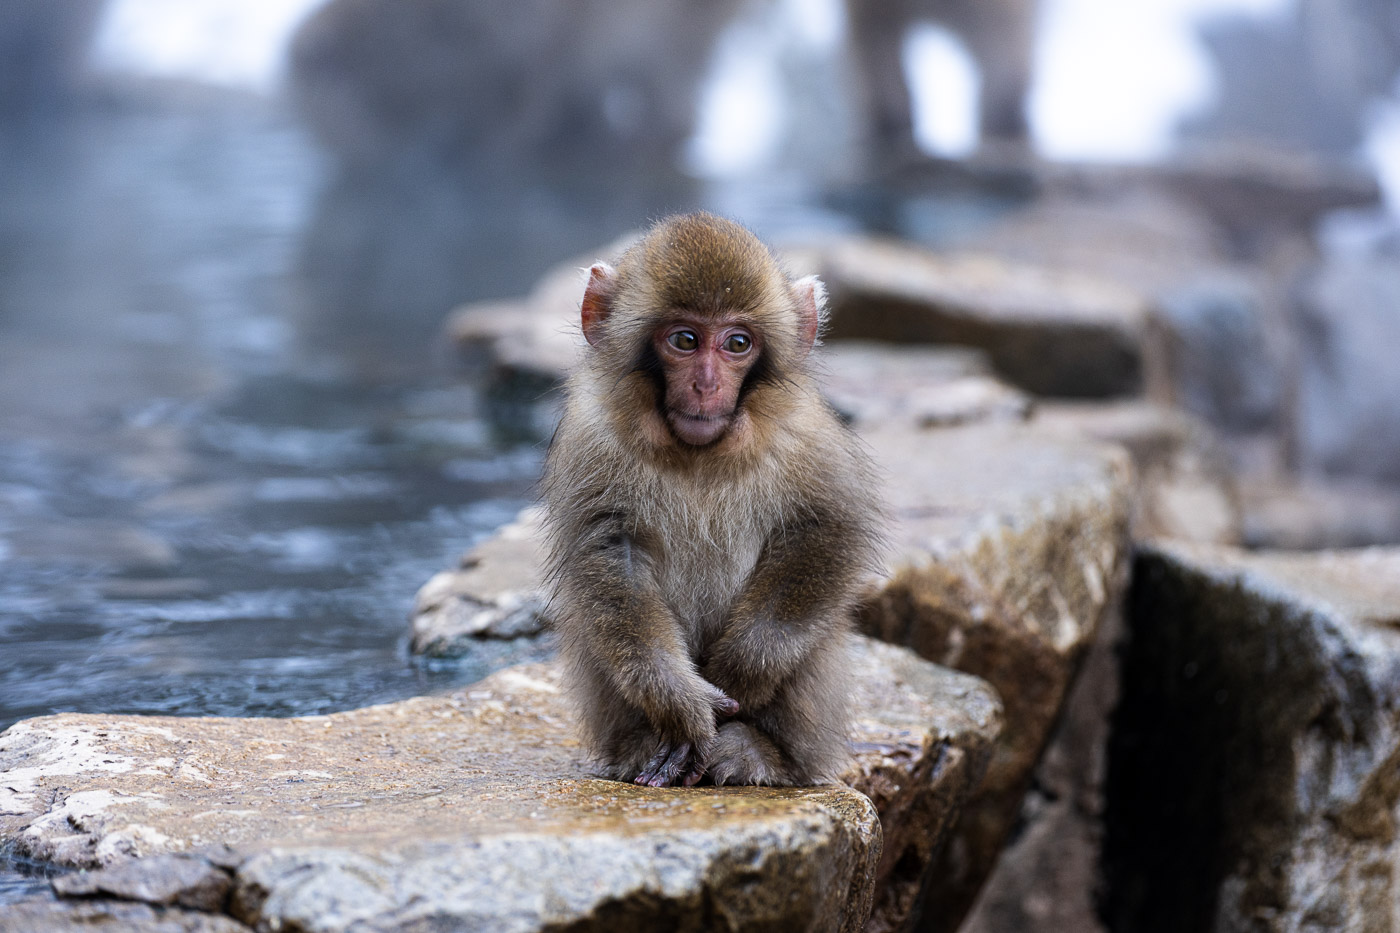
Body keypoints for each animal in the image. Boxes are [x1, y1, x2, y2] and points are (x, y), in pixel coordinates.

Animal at [540, 212, 883, 788]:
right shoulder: (592, 436)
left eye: (737, 343)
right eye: (685, 339)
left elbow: (825, 533)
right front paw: (680, 705)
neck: (699, 454)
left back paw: (760, 752)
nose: (705, 384)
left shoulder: (806, 432)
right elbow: (609, 556)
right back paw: (642, 744)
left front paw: (741, 672)